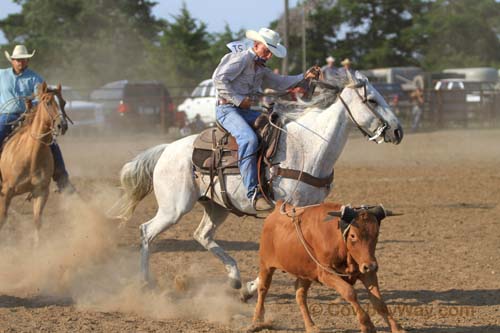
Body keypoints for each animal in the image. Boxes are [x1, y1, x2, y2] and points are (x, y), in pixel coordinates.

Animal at [0, 83, 68, 244]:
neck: (30, 155)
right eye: (48, 102)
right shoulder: (6, 191)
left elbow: (37, 221)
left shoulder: (41, 191)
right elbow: (2, 219)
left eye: (63, 102)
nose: (62, 125)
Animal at [250, 200, 406, 332]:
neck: (339, 241)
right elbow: (349, 292)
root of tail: (277, 209)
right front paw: (367, 325)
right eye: (353, 235)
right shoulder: (326, 273)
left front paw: (397, 328)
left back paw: (311, 326)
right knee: (263, 289)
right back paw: (256, 321)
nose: (371, 265)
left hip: (305, 273)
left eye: (376, 234)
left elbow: (379, 302)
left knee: (300, 295)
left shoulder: (367, 272)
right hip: (266, 265)